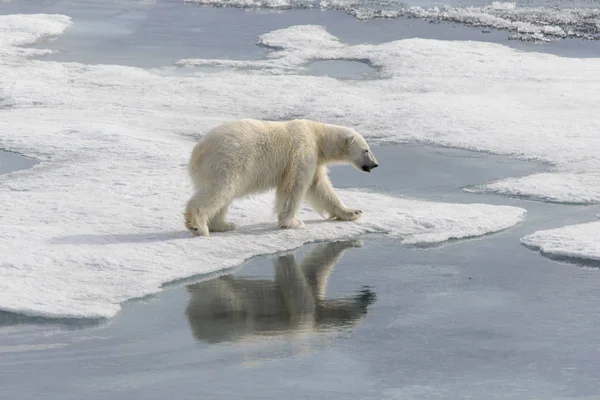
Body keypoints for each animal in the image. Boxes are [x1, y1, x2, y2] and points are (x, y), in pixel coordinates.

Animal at [185, 119, 378, 238]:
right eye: (366, 150)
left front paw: (353, 212)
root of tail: (197, 152)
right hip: (228, 161)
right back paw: (198, 226)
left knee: (223, 197)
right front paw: (293, 222)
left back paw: (224, 225)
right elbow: (294, 186)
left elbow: (320, 188)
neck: (317, 134)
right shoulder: (303, 151)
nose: (375, 164)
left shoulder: (315, 160)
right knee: (219, 190)